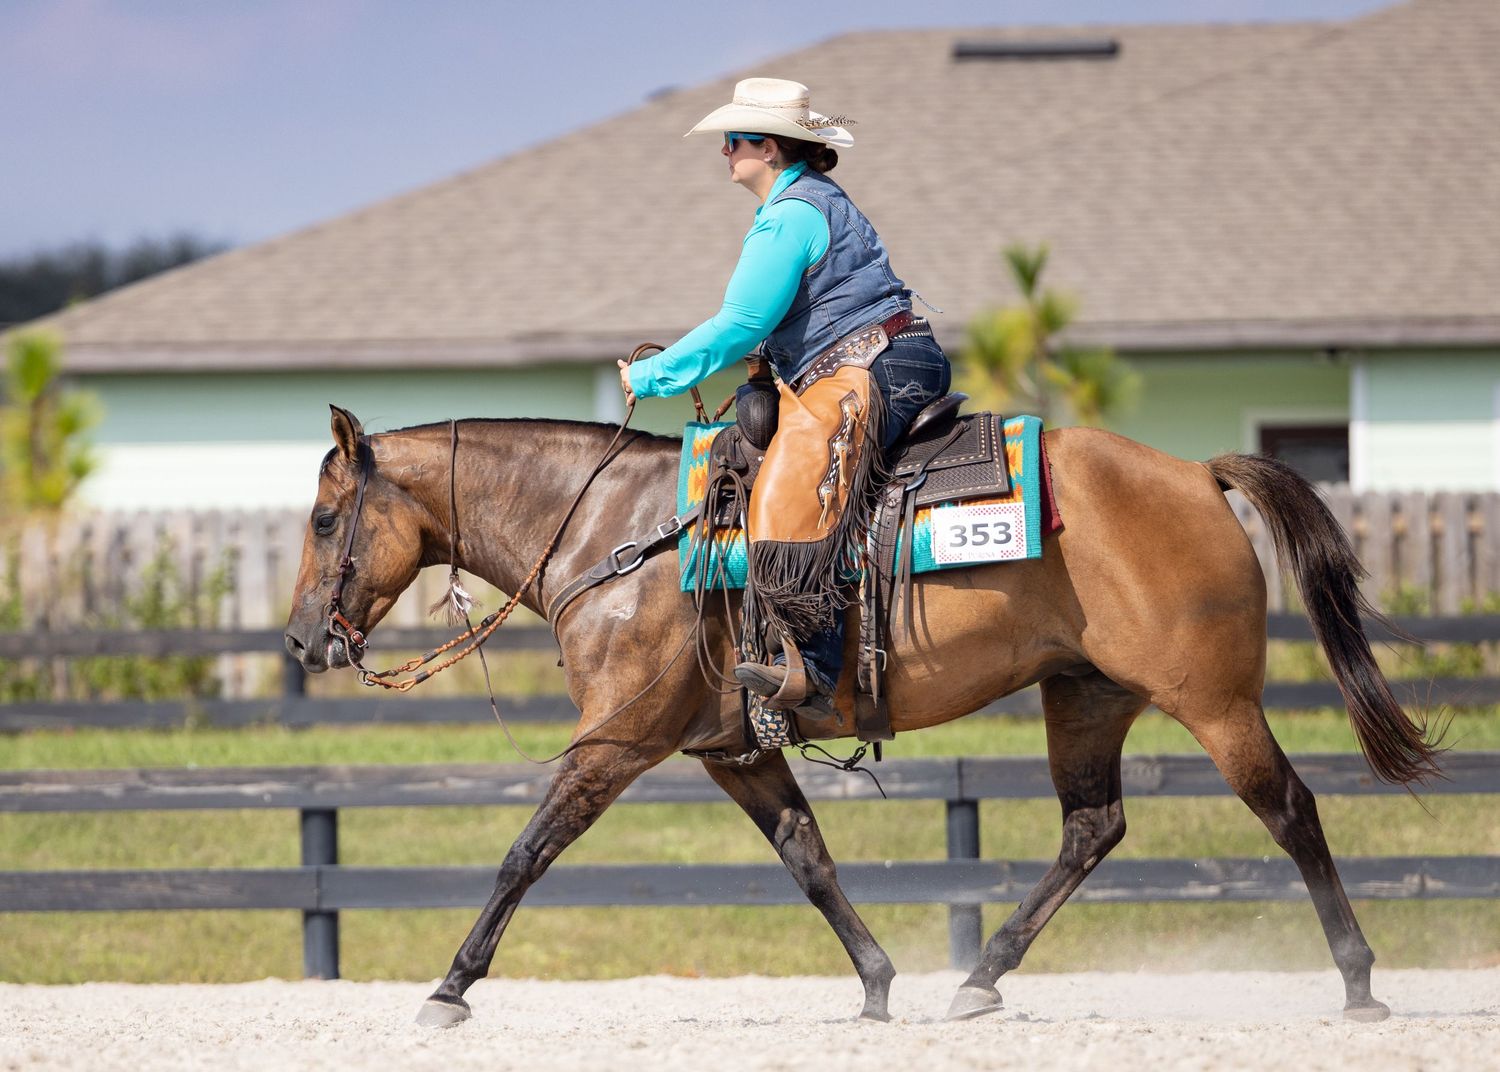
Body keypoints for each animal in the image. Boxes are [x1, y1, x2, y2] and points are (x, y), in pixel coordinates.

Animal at [283, 404, 1441, 1027]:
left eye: (327, 519)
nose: (300, 641)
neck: (620, 535)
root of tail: (1197, 473)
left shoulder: (615, 742)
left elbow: (526, 851)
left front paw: (451, 985)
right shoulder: (731, 751)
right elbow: (808, 856)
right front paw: (880, 983)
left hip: (1214, 702)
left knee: (1289, 809)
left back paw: (1360, 982)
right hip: (1085, 694)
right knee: (1092, 827)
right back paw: (978, 978)